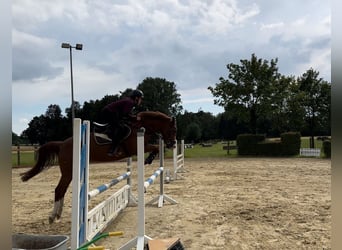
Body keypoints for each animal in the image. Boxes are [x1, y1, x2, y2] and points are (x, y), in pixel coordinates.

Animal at [20, 111, 176, 223]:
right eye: (172, 129)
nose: (173, 144)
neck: (140, 126)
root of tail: (62, 144)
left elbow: (156, 147)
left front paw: (150, 158)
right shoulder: (136, 148)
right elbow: (156, 147)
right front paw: (149, 158)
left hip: (69, 172)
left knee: (61, 190)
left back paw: (57, 215)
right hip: (68, 172)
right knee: (59, 190)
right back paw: (53, 216)